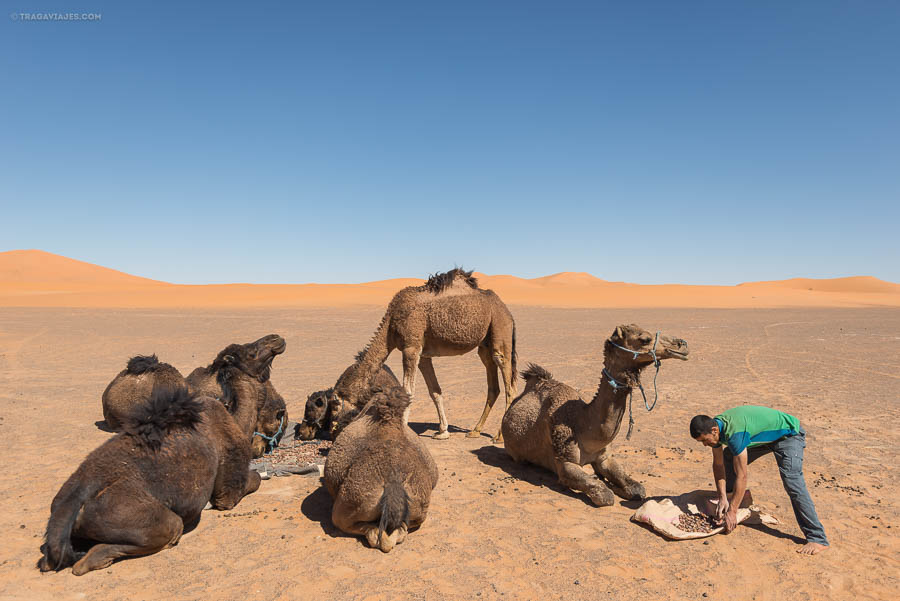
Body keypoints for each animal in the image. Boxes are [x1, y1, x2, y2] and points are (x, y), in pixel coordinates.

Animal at [332, 268, 516, 440]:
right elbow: (434, 391)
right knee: (493, 384)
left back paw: (499, 436)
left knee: (508, 382)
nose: (334, 430)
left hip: (500, 327)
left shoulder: (411, 348)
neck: (390, 326)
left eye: (335, 404)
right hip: (484, 344)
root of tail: (507, 311)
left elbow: (408, 390)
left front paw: (403, 429)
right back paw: (475, 431)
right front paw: (443, 432)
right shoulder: (423, 356)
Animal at [500, 324, 688, 506]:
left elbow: (637, 489)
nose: (682, 345)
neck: (584, 425)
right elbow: (605, 496)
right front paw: (606, 485)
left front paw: (615, 484)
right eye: (645, 339)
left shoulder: (604, 457)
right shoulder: (564, 462)